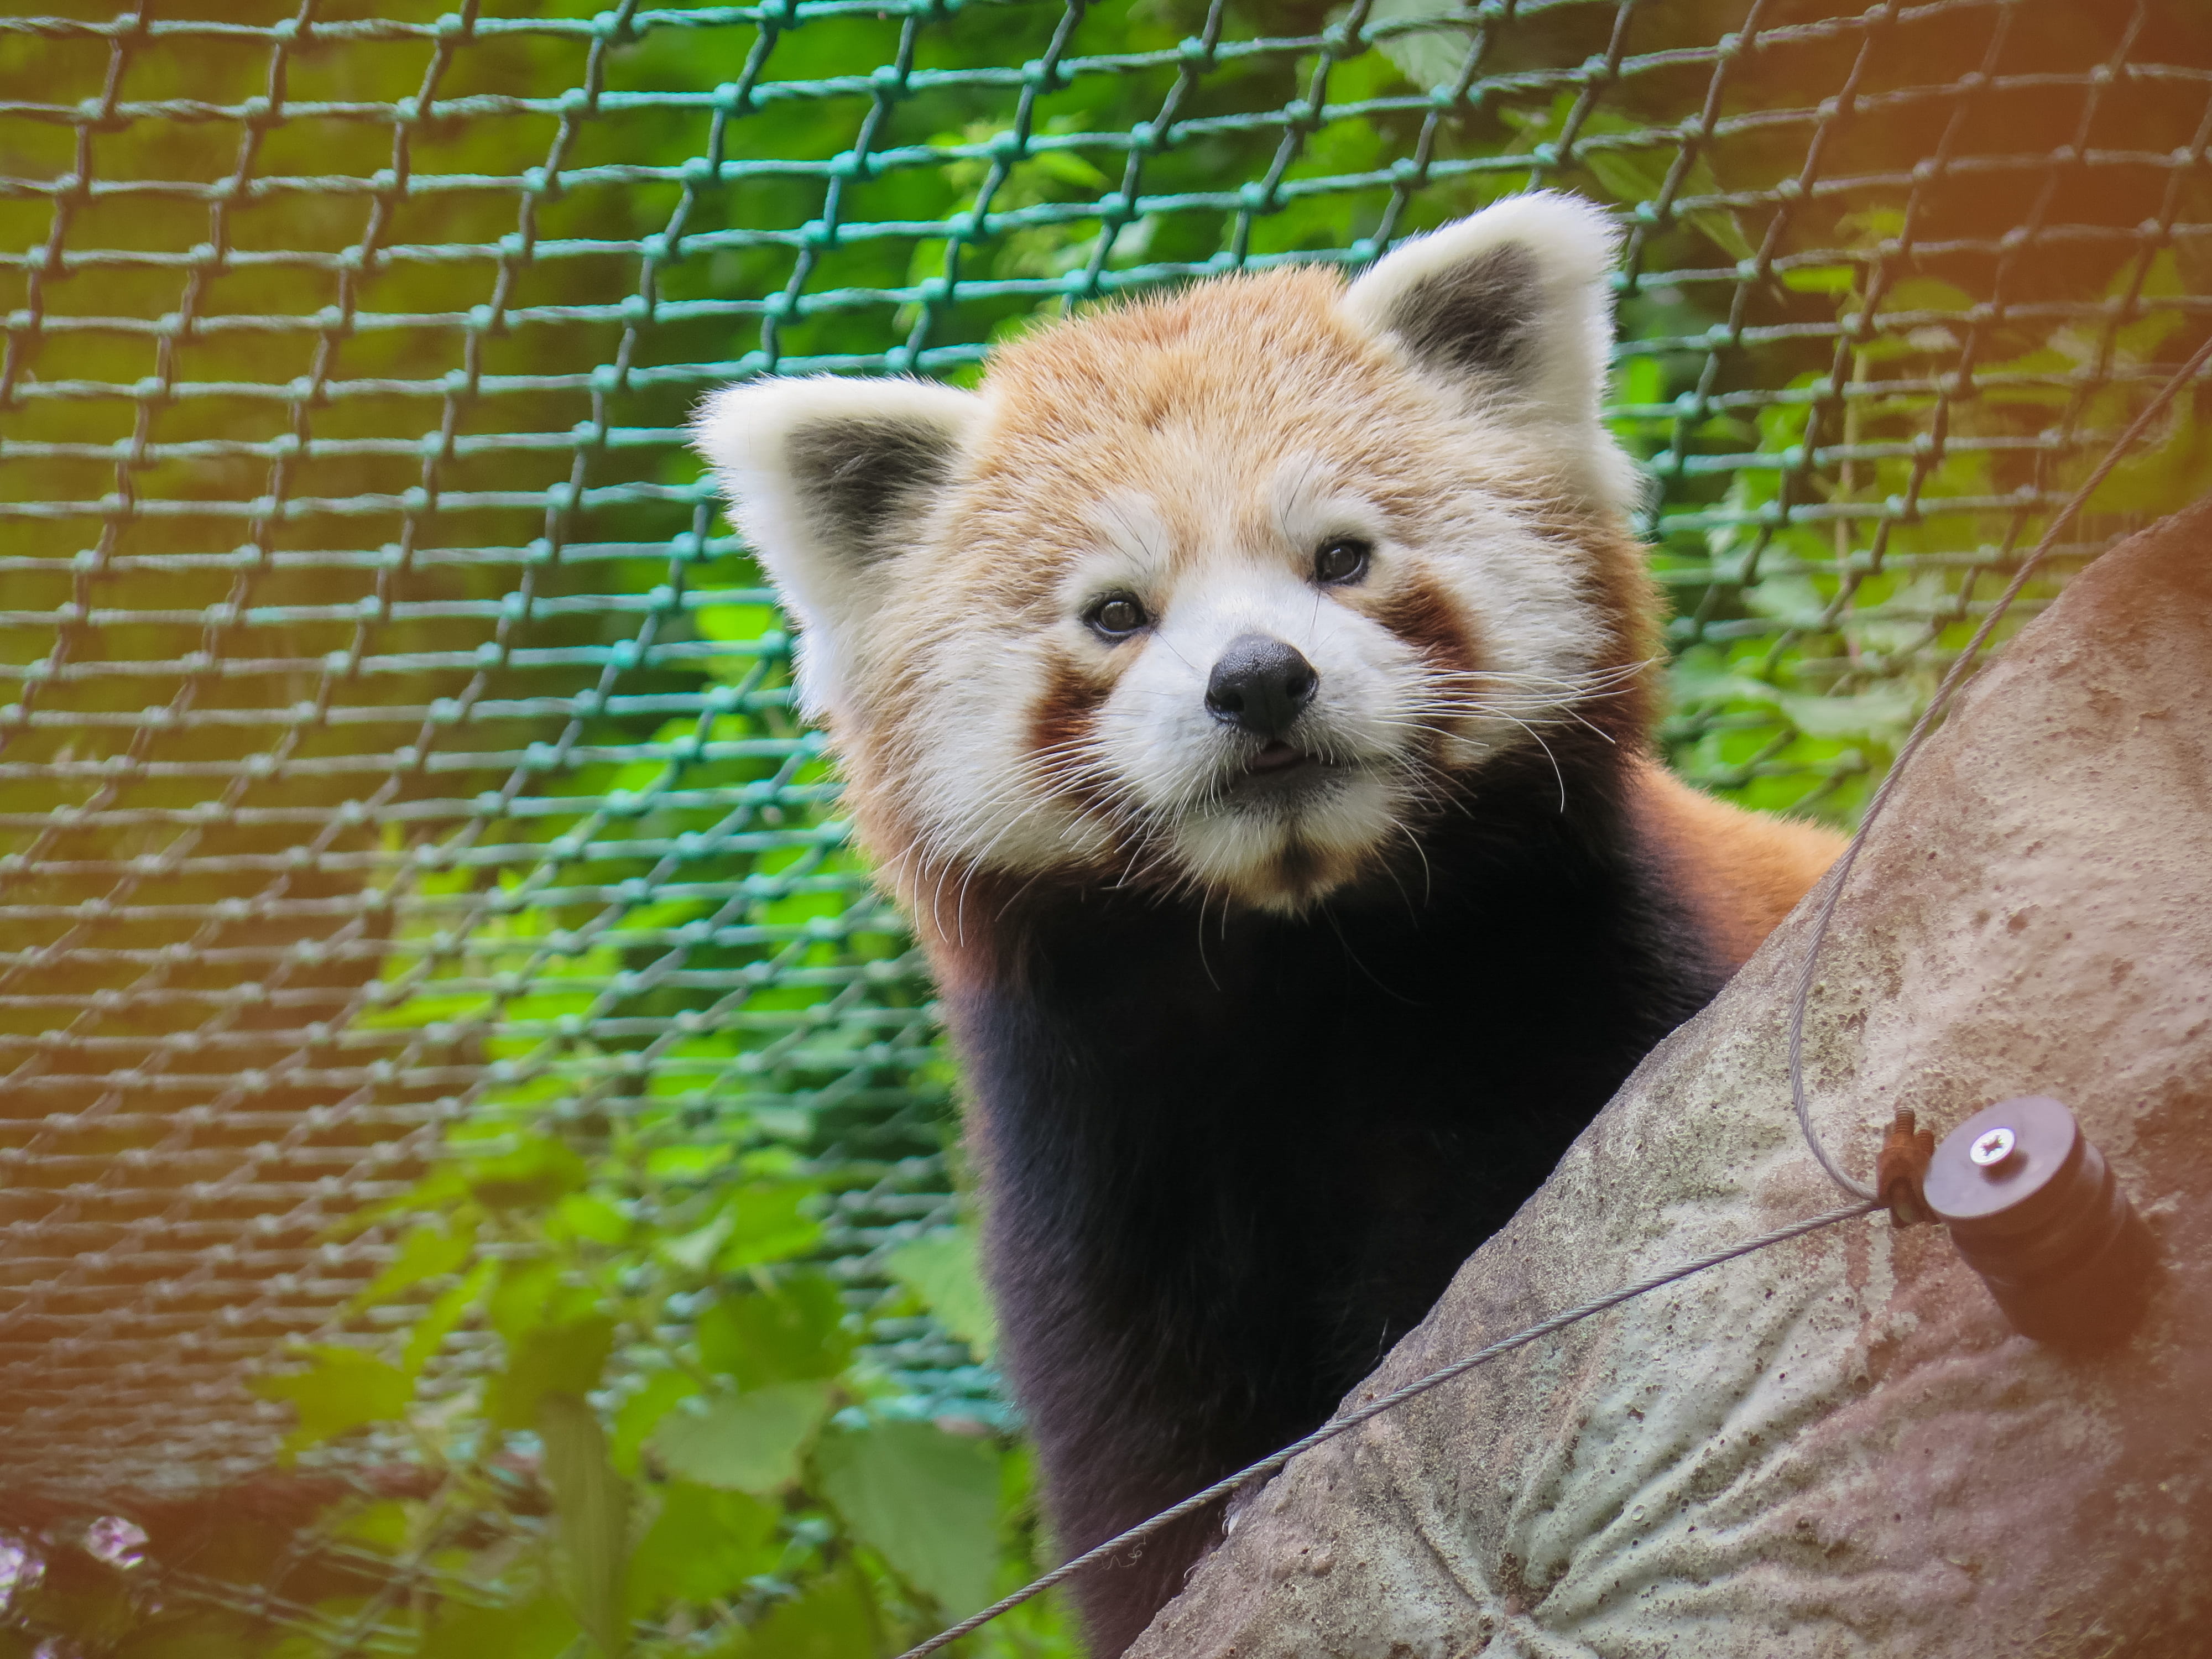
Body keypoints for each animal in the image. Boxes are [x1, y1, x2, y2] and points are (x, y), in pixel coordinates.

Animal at [694, 191, 1843, 1655]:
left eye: (1340, 557)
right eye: (1114, 612)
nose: (1255, 679)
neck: (1296, 955)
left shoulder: (1585, 986)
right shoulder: (1095, 1145)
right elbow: (1136, 1440)